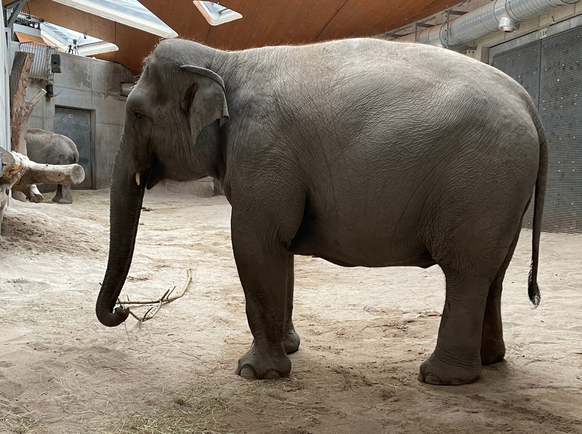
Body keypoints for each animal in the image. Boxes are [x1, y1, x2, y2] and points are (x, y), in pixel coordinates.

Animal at [94, 36, 548, 384]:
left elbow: (254, 244)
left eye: (136, 113)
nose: (123, 310)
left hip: (481, 182)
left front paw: (254, 373)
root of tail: (528, 102)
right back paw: (489, 361)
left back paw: (440, 378)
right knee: (493, 273)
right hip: (502, 193)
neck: (222, 58)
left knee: (466, 271)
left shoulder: (263, 151)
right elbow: (279, 252)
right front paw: (289, 350)